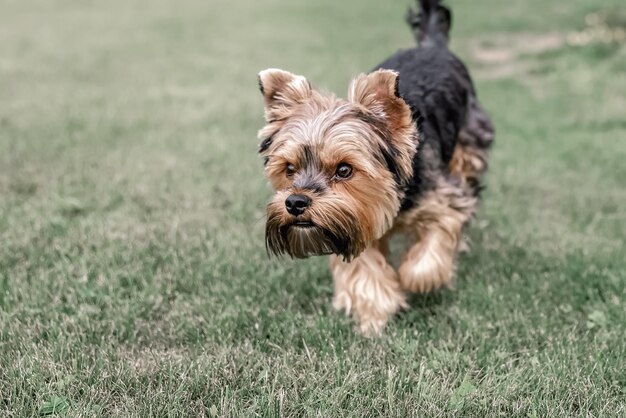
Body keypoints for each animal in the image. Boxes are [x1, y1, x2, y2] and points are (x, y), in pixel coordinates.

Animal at [254, 0, 492, 334]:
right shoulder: (352, 221)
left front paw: (417, 278)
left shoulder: (441, 196)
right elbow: (363, 267)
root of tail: (432, 45)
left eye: (344, 170)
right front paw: (375, 311)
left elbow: (441, 230)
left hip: (469, 140)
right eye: (289, 169)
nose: (295, 202)